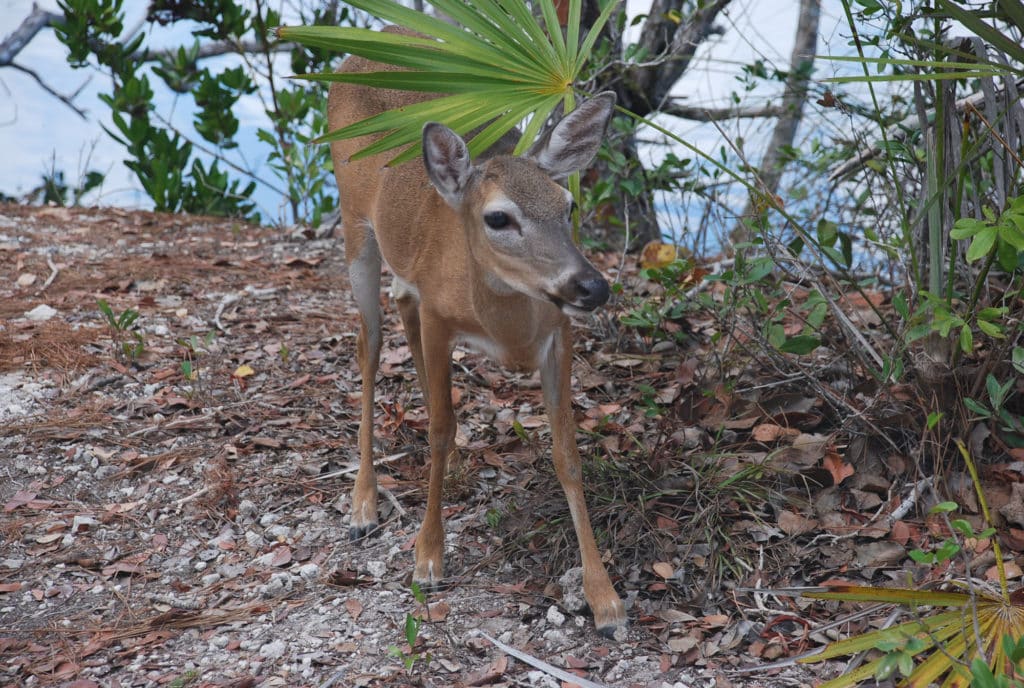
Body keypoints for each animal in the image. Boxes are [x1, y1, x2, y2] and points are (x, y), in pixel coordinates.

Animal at [327, 30, 626, 634]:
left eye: (569, 205)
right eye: (498, 218)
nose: (591, 286)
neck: (506, 325)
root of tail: (356, 55)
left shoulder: (558, 334)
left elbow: (566, 451)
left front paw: (603, 597)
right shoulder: (443, 318)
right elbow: (441, 426)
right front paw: (427, 559)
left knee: (401, 303)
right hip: (352, 224)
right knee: (368, 344)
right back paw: (363, 503)